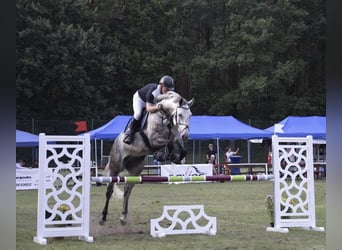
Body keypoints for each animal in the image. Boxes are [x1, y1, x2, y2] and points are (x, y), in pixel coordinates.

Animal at [100, 91, 194, 226]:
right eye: (180, 114)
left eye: (190, 115)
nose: (186, 135)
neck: (164, 116)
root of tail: (115, 143)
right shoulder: (153, 140)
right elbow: (168, 143)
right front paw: (162, 155)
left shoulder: (174, 137)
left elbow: (180, 148)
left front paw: (175, 157)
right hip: (115, 166)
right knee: (109, 190)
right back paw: (103, 217)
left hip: (136, 169)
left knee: (127, 190)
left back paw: (123, 217)